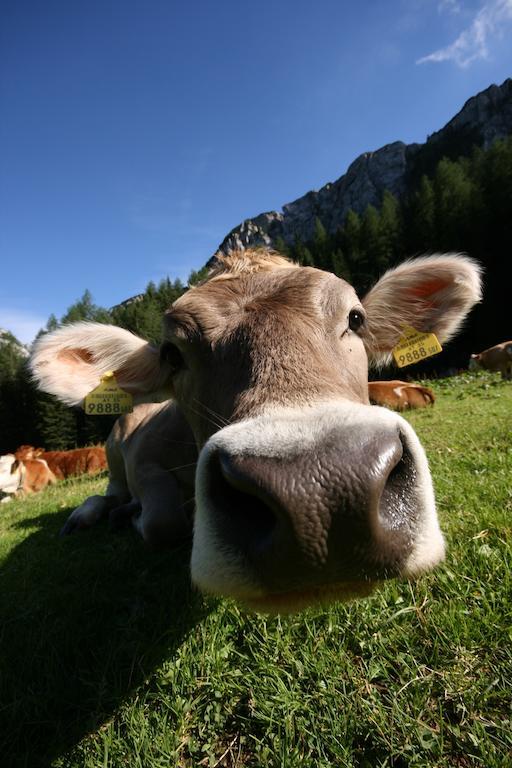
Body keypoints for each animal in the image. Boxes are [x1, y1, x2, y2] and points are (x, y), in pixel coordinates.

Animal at [30, 252, 482, 612]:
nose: (319, 495)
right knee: (108, 493)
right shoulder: (144, 462)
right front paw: (142, 516)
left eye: (356, 318)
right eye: (172, 354)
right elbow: (162, 522)